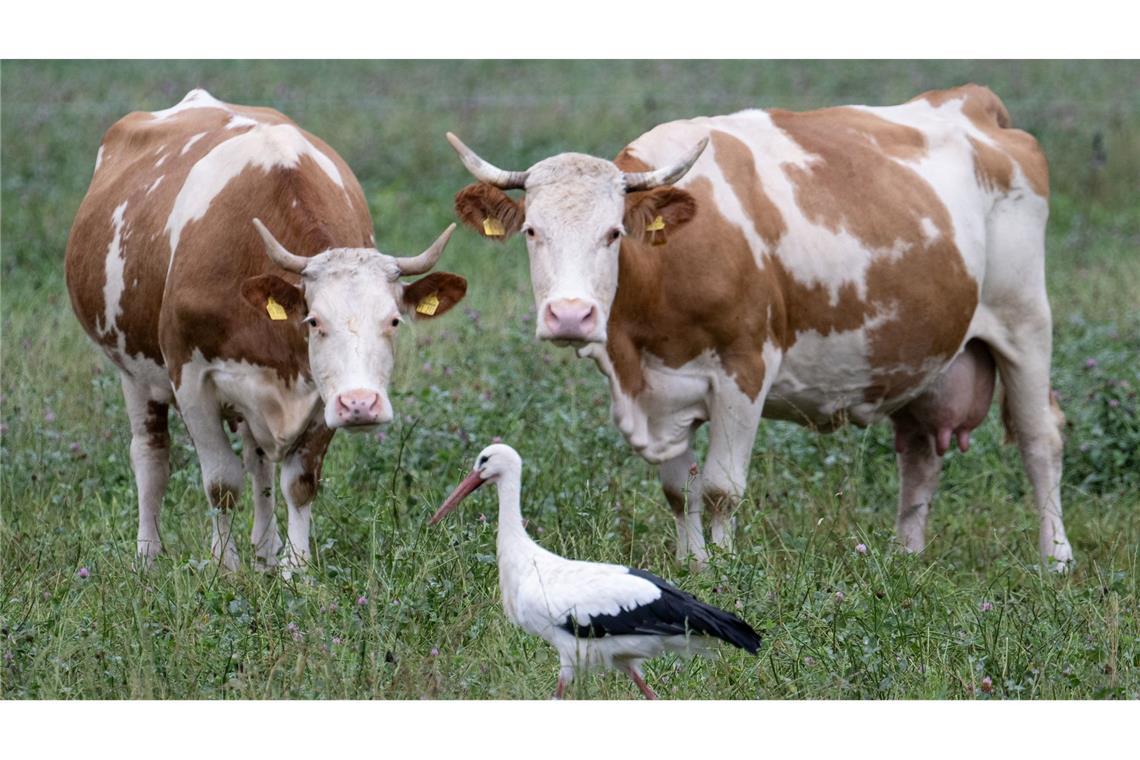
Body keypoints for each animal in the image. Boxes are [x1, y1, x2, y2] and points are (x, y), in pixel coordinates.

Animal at [449, 84, 1071, 569]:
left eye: (613, 233)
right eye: (532, 231)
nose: (571, 315)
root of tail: (970, 103)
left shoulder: (744, 369)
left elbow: (721, 490)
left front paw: (726, 571)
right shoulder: (661, 388)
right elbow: (678, 491)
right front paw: (692, 567)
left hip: (1025, 321)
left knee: (1040, 438)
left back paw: (1055, 559)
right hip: (923, 355)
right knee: (919, 455)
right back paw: (906, 557)